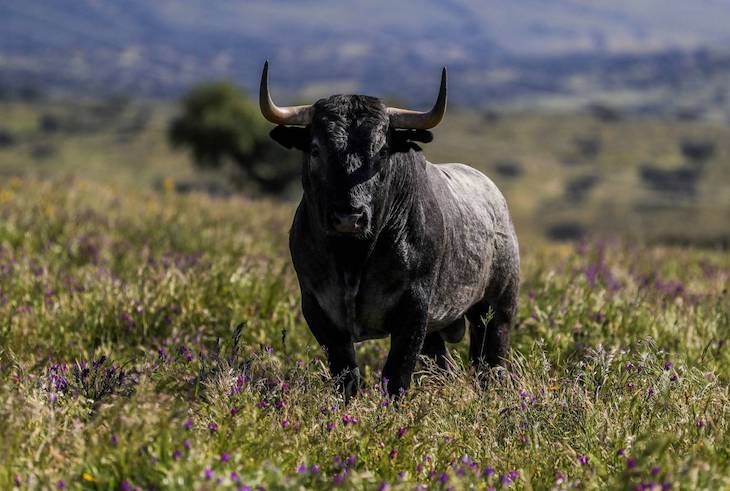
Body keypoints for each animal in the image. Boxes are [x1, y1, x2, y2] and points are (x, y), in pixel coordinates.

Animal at [258, 61, 516, 400]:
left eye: (381, 152)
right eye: (315, 149)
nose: (348, 217)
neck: (352, 259)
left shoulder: (414, 310)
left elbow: (396, 374)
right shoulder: (318, 309)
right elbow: (346, 374)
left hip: (496, 309)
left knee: (491, 363)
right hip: (440, 330)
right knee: (445, 367)